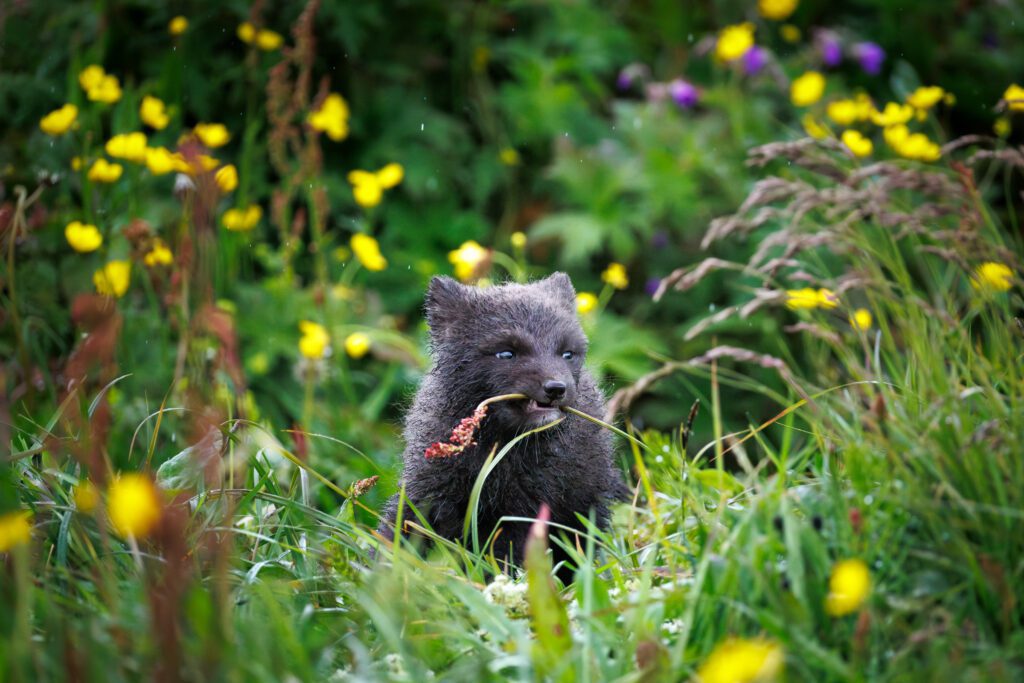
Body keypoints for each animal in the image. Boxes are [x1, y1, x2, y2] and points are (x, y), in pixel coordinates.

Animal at [377, 273, 628, 578]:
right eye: (507, 353)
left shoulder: (522, 516)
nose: (557, 388)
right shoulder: (426, 489)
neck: (498, 455)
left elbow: (500, 561)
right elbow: (396, 533)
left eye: (567, 354)